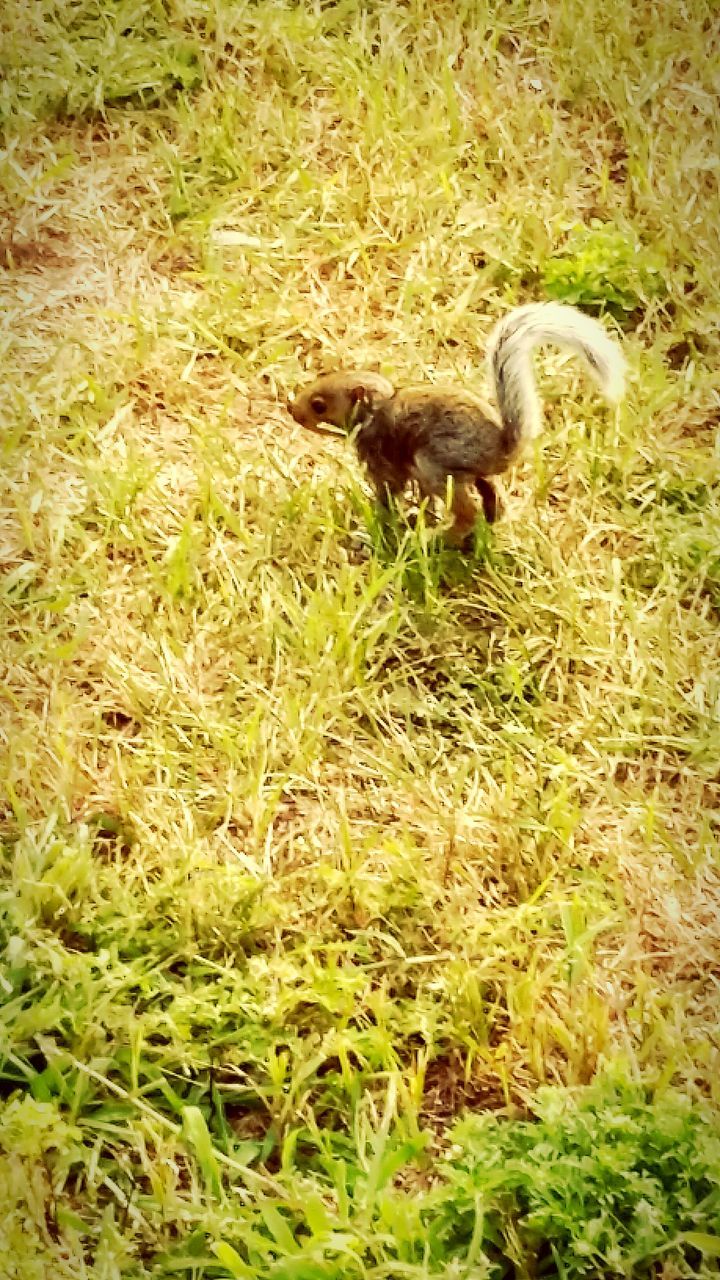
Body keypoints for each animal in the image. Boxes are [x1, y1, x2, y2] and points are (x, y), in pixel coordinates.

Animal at [285, 303, 622, 540]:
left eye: (319, 405)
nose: (292, 409)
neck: (375, 412)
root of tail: (503, 449)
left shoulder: (382, 460)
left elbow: (388, 494)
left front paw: (375, 521)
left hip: (434, 464)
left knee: (466, 515)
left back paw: (436, 538)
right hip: (465, 474)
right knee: (493, 498)